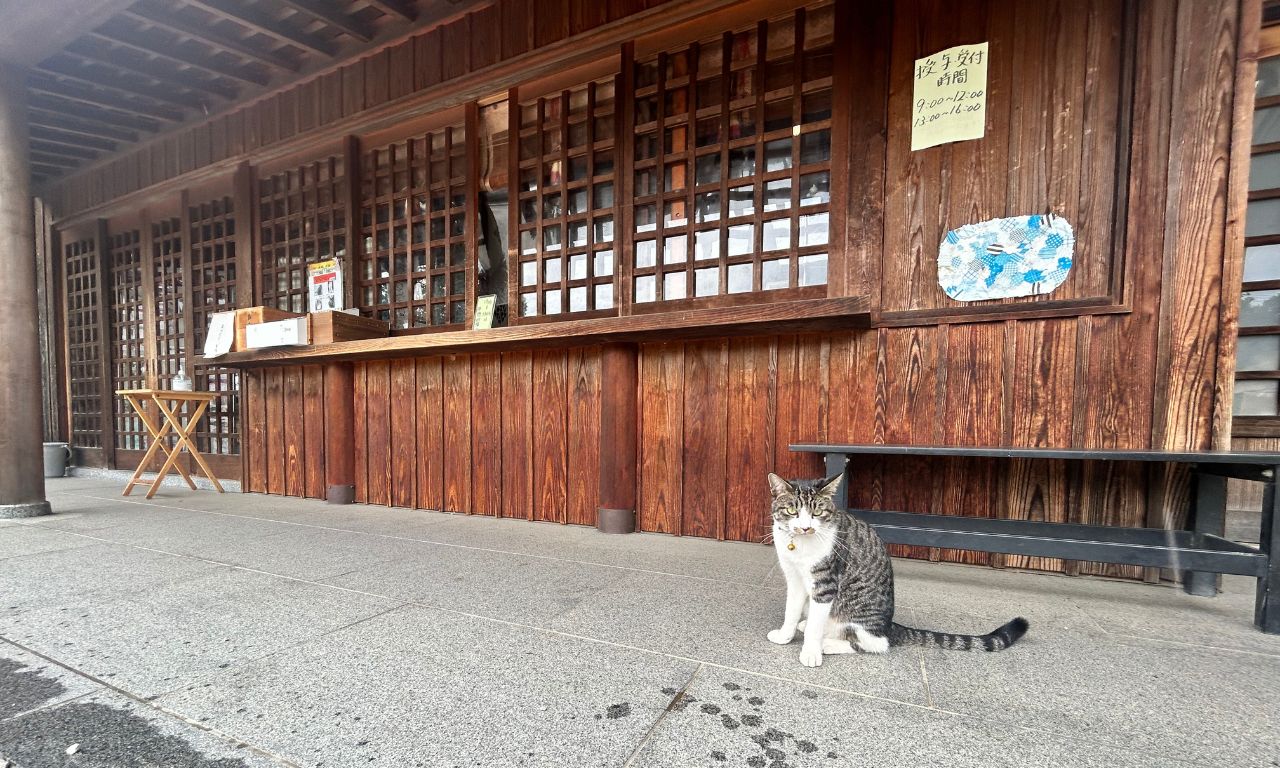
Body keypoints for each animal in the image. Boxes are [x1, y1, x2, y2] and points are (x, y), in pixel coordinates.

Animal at [762, 468, 1024, 665]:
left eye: (817, 511)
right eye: (792, 510)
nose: (806, 527)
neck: (800, 547)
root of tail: (889, 625)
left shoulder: (825, 584)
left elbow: (817, 625)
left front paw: (810, 652)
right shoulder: (794, 577)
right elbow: (791, 610)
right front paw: (785, 636)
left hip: (861, 617)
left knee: (875, 643)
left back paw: (827, 644)